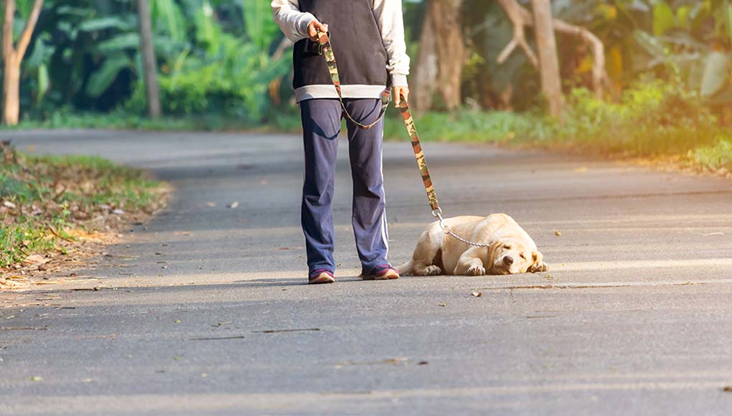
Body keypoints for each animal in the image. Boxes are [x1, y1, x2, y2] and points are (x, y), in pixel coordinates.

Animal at [398, 214, 548, 276]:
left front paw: (539, 265)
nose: (508, 259)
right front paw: (476, 267)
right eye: (505, 247)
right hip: (434, 237)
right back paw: (429, 269)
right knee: (416, 266)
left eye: (522, 256)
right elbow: (476, 259)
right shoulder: (464, 259)